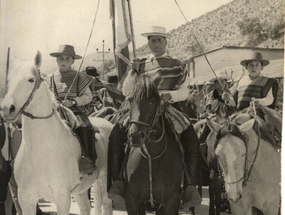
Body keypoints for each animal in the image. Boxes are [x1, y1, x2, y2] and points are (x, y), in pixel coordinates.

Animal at [0, 52, 113, 215]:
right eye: (9, 80)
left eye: (31, 79)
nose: (6, 109)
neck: (40, 153)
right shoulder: (26, 199)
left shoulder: (62, 198)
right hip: (81, 189)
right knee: (86, 206)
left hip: (104, 179)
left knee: (106, 204)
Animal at [124, 74, 182, 214]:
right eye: (130, 100)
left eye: (152, 101)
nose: (135, 135)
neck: (152, 156)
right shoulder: (132, 201)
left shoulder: (171, 202)